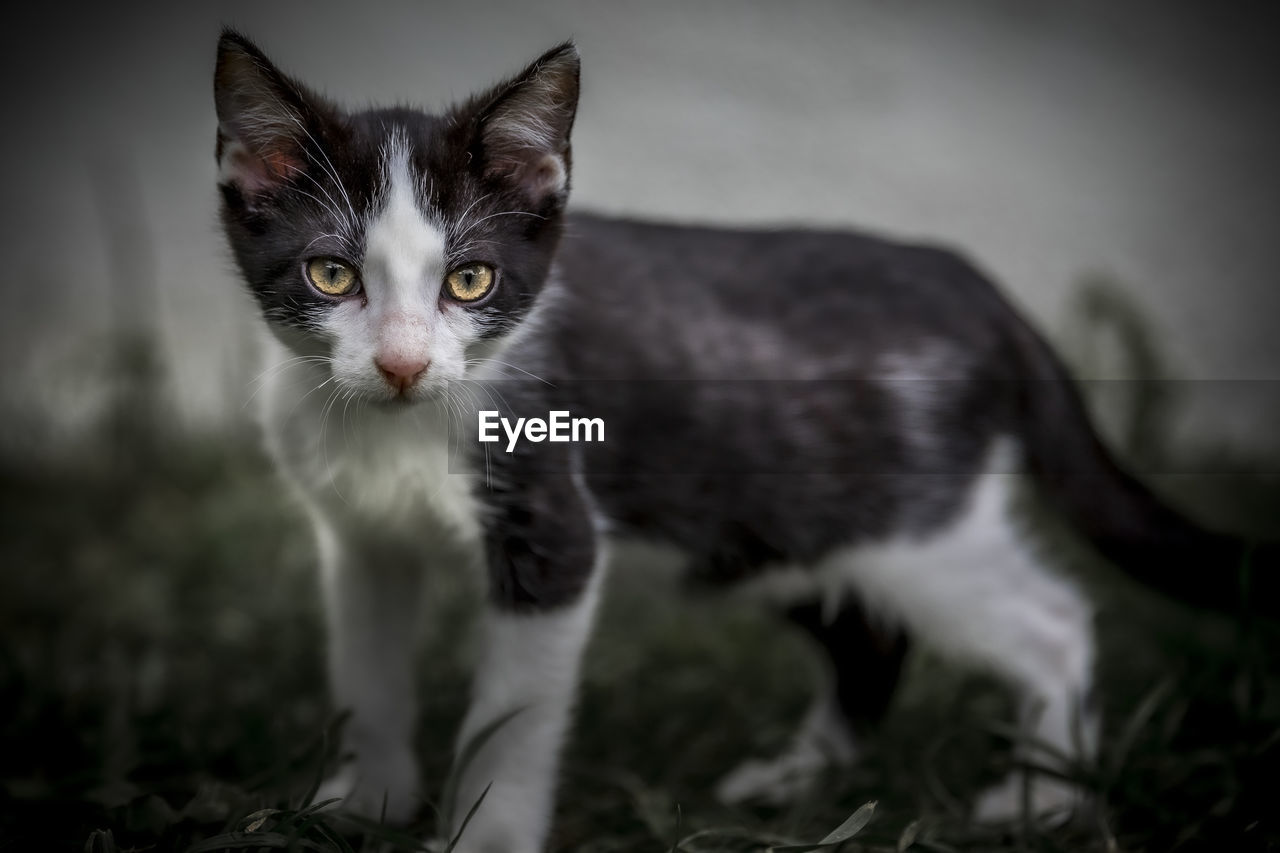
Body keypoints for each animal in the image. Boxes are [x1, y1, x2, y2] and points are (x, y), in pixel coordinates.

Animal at [209, 29, 1269, 850]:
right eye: (331, 274)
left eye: (470, 281)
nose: (401, 364)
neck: (396, 428)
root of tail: (979, 287)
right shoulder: (359, 539)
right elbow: (365, 666)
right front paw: (363, 804)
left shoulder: (553, 530)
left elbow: (511, 718)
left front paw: (485, 836)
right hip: (772, 527)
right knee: (870, 631)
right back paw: (799, 779)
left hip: (908, 524)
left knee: (1049, 622)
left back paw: (1044, 799)